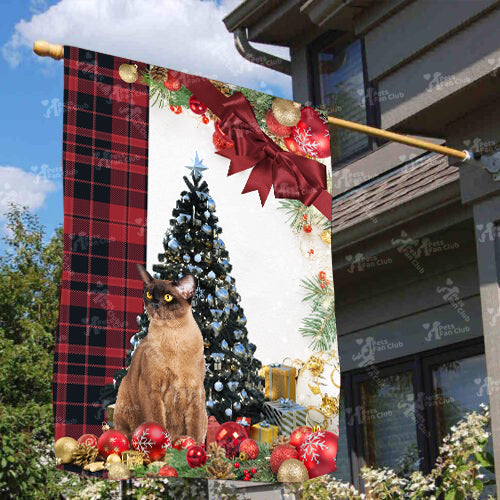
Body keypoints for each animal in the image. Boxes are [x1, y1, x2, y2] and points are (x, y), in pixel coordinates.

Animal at [114, 264, 207, 444]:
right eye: (149, 294)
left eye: (168, 297)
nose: (154, 304)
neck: (172, 335)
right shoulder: (153, 390)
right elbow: (158, 422)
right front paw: (165, 447)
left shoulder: (195, 393)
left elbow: (194, 432)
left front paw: (193, 448)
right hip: (125, 400)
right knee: (125, 433)